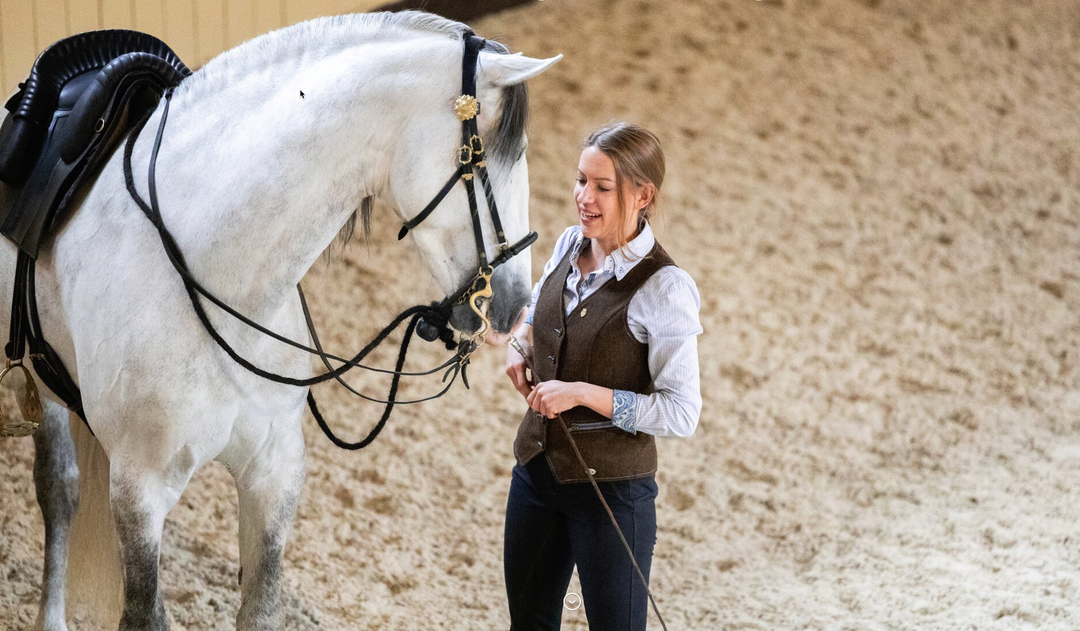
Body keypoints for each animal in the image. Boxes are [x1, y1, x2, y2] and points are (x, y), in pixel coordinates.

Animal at [0, 11, 557, 631]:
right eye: (501, 153)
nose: (514, 304)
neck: (214, 274)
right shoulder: (139, 490)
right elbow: (144, 609)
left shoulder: (273, 474)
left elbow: (260, 607)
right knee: (59, 490)